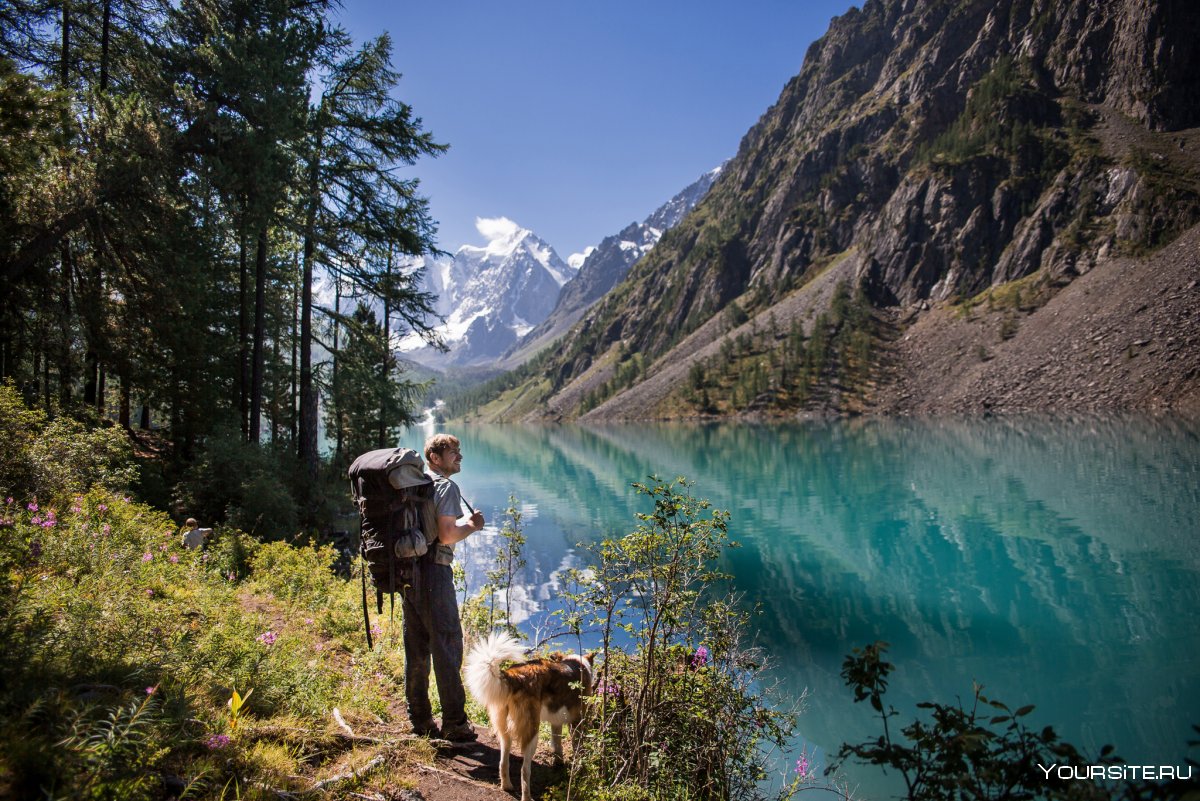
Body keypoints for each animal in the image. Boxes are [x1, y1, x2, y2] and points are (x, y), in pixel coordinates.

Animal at [465, 633, 597, 801]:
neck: (579, 664)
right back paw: (526, 797)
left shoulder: (556, 722)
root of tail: (514, 676)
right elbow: (577, 748)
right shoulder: (577, 722)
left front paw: (559, 763)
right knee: (524, 770)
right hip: (532, 732)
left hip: (504, 731)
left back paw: (506, 786)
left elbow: (557, 745)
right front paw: (578, 766)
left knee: (503, 762)